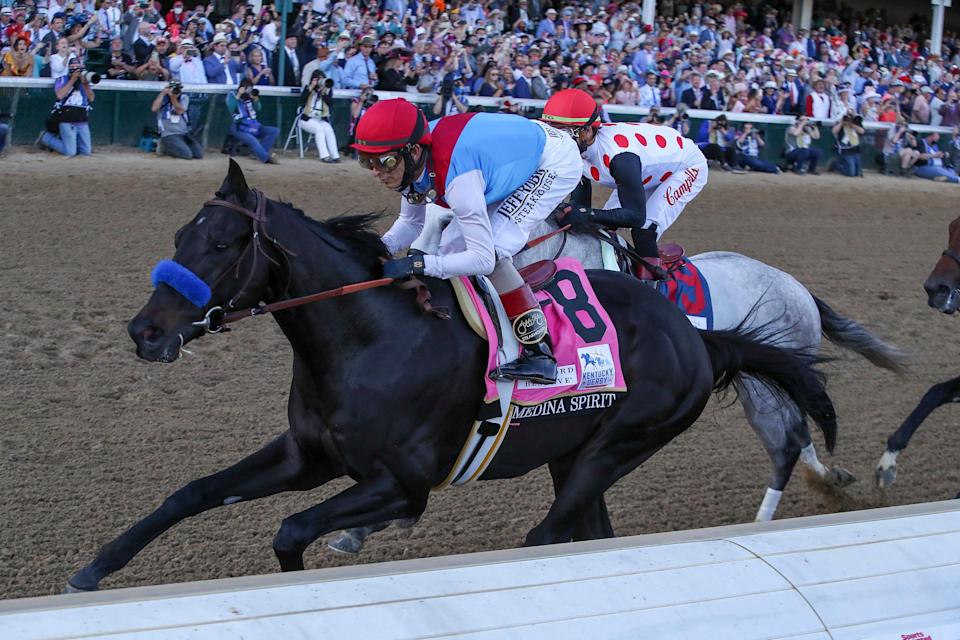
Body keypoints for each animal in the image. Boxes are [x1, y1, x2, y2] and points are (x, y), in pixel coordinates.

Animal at [69, 162, 832, 592]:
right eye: (179, 237)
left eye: (225, 244)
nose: (145, 332)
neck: (370, 338)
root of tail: (698, 336)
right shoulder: (307, 455)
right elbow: (193, 492)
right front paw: (93, 569)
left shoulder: (402, 483)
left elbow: (290, 531)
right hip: (575, 455)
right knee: (592, 533)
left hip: (620, 444)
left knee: (546, 537)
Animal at [326, 208, 904, 552]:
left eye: (445, 225)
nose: (405, 265)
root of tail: (798, 288)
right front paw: (365, 526)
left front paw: (368, 523)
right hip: (761, 381)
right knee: (800, 431)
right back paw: (828, 480)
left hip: (760, 389)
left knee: (786, 441)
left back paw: (766, 523)